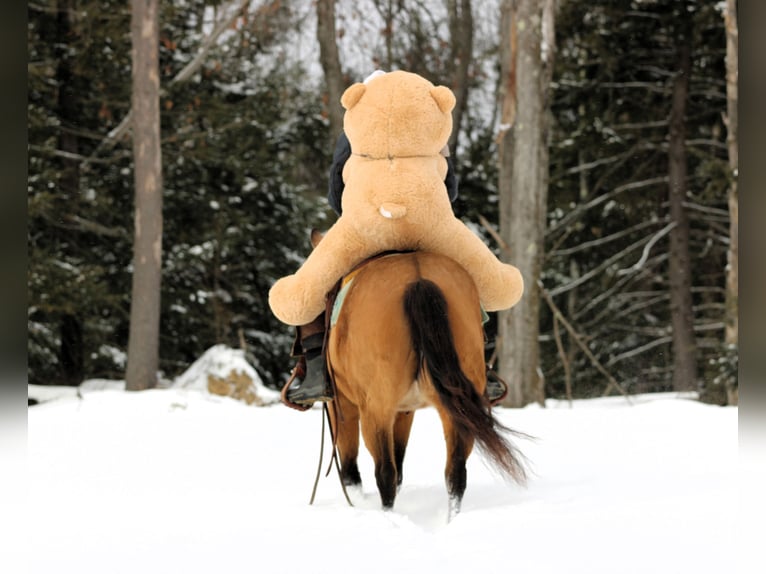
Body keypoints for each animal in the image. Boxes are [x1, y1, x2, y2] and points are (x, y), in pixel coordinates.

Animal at [321, 236, 528, 520]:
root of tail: (418, 279)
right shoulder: (405, 410)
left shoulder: (342, 405)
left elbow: (353, 470)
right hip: (455, 407)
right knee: (455, 472)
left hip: (376, 410)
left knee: (384, 472)